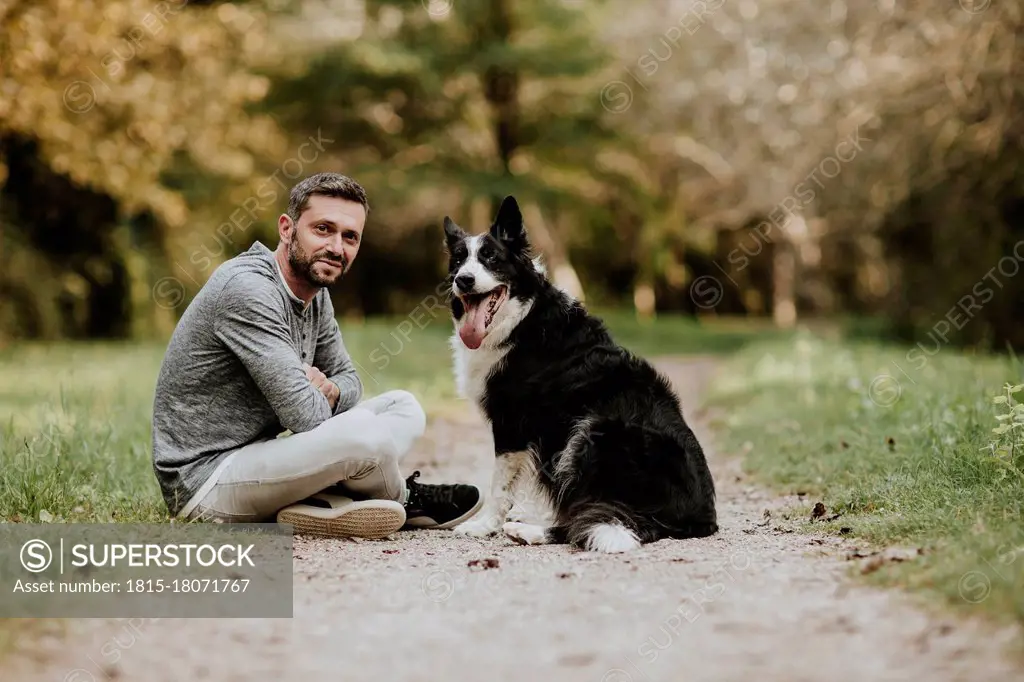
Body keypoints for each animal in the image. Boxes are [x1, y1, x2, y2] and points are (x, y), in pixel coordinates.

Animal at [444, 193, 716, 548]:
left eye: (490, 258)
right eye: (459, 260)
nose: (464, 280)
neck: (521, 319)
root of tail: (700, 517)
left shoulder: (510, 424)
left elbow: (500, 484)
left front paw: (484, 525)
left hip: (593, 429)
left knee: (582, 521)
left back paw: (528, 531)